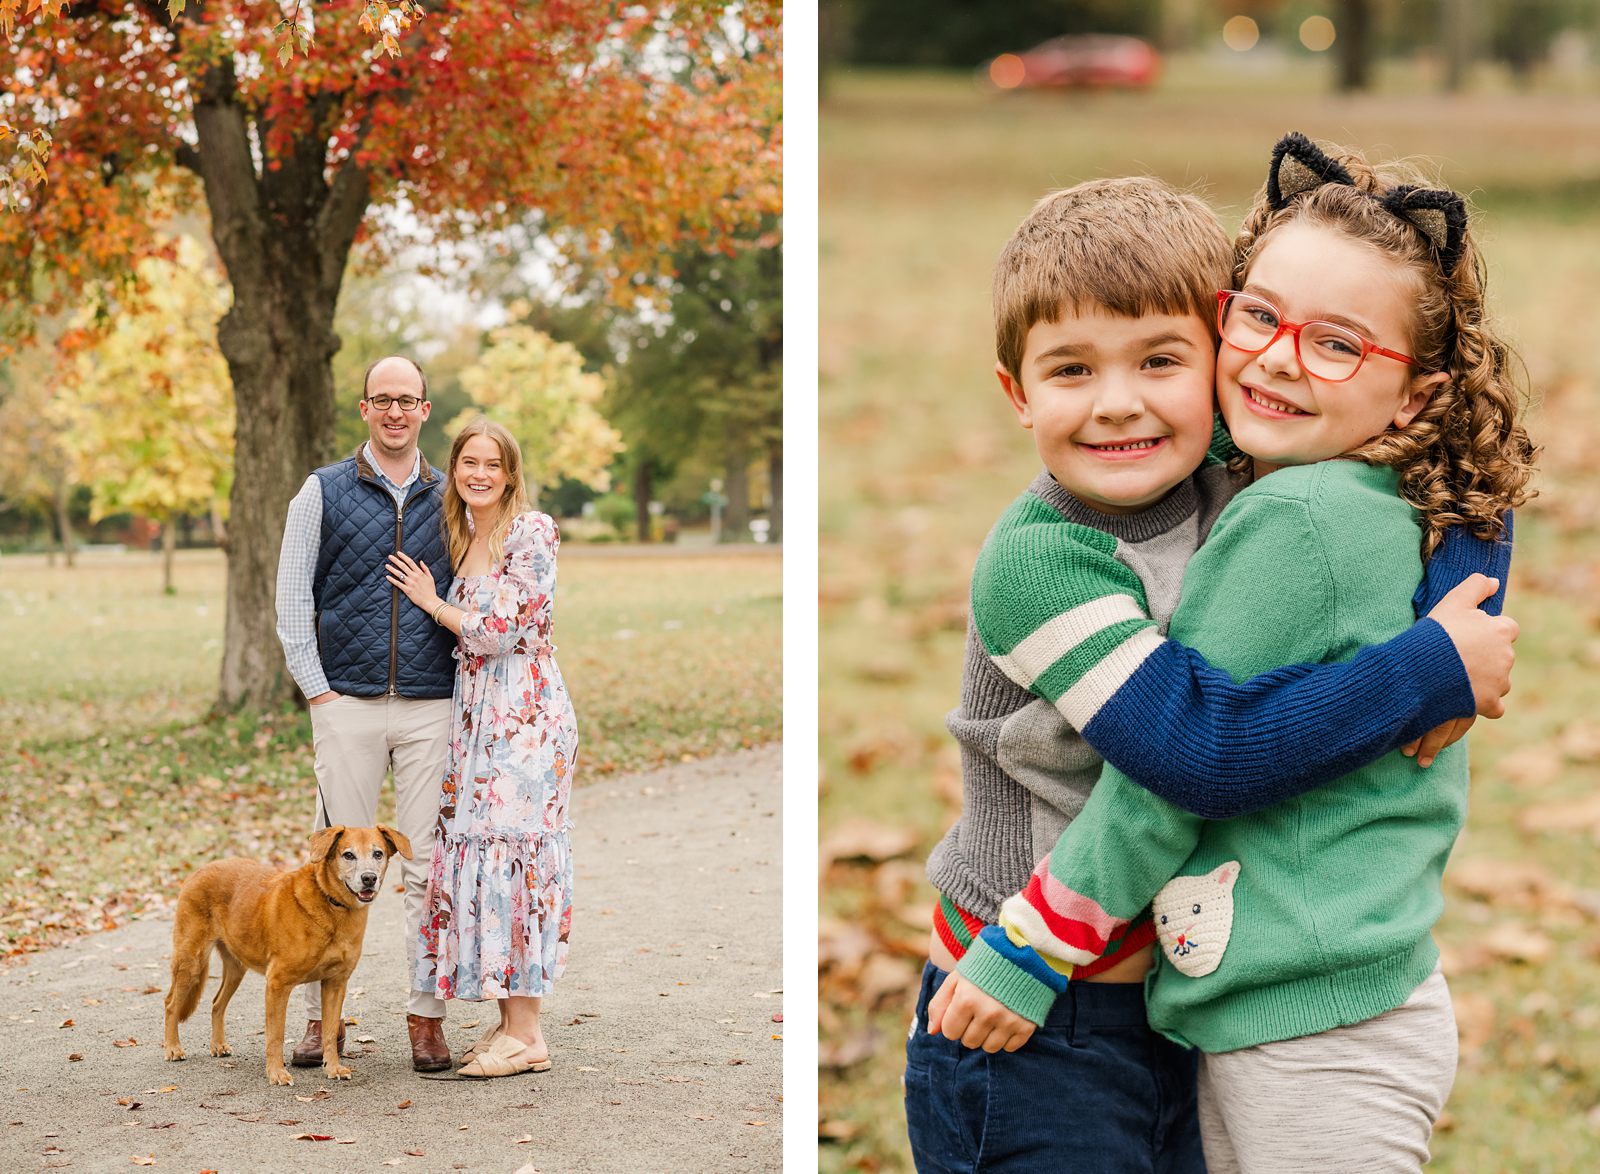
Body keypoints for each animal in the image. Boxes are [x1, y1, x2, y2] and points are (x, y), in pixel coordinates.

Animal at [161, 825, 409, 1087]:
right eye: (348, 855)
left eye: (378, 854)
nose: (369, 878)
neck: (331, 904)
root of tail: (200, 869)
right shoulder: (278, 983)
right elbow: (275, 1035)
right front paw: (276, 1073)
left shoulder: (335, 984)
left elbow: (330, 1032)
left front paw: (332, 1068)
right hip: (191, 961)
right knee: (171, 1004)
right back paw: (173, 1048)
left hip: (236, 967)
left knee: (217, 1003)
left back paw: (217, 1045)